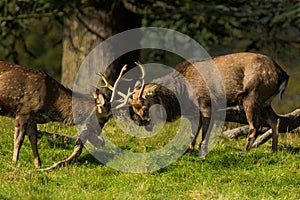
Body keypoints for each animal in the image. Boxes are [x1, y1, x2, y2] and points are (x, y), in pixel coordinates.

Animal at [130, 53, 290, 158]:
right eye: (134, 108)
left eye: (144, 107)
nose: (140, 123)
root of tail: (282, 73)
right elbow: (193, 133)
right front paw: (190, 153)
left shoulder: (206, 104)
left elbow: (203, 133)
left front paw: (202, 154)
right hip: (265, 102)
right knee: (275, 120)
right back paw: (274, 151)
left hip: (252, 97)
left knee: (255, 126)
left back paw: (243, 152)